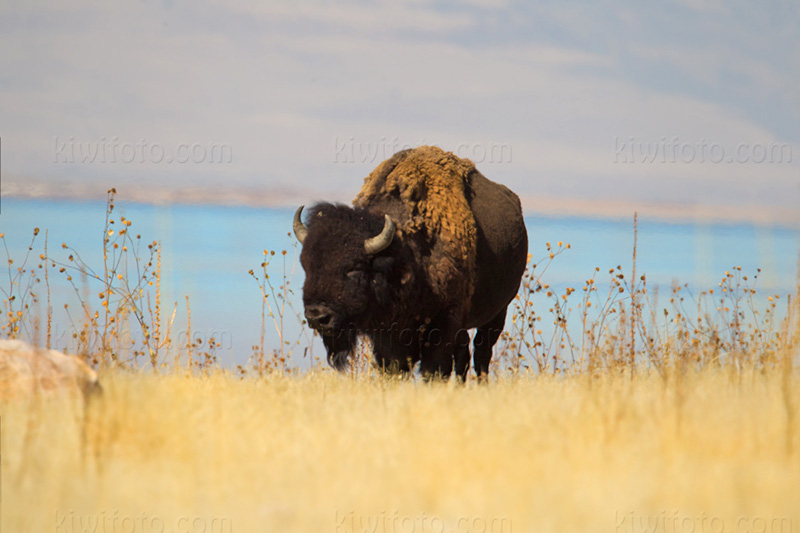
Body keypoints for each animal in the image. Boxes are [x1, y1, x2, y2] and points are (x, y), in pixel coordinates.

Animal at [290, 145, 528, 378]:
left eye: (354, 268)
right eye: (307, 266)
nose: (317, 316)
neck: (404, 256)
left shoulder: (446, 320)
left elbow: (435, 367)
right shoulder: (386, 334)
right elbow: (394, 366)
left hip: (498, 312)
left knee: (481, 353)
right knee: (464, 356)